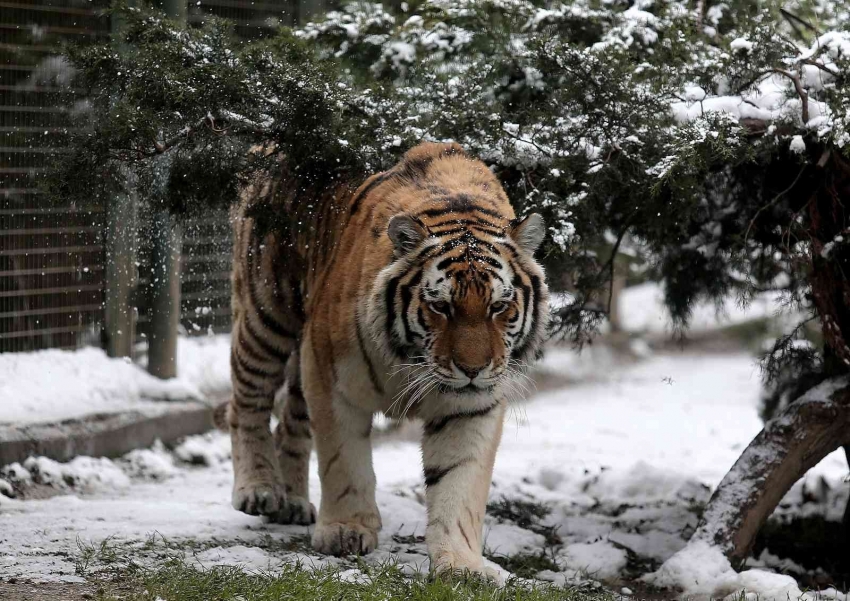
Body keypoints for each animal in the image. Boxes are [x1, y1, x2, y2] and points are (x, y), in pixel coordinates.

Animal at [225, 141, 548, 576]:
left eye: (499, 307)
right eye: (441, 307)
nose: (473, 369)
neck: (412, 361)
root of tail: (269, 145)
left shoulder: (473, 406)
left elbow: (459, 483)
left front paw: (461, 563)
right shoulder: (330, 376)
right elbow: (343, 460)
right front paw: (345, 531)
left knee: (290, 422)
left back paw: (291, 502)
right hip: (266, 312)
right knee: (247, 401)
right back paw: (258, 489)